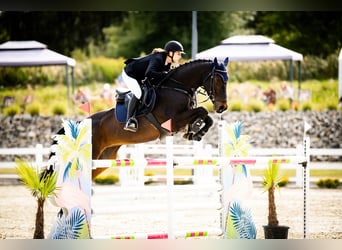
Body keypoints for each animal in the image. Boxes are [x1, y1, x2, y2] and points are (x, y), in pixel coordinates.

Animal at [50, 57, 230, 179]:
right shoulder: (174, 121)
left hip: (105, 158)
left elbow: (206, 117)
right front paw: (195, 131)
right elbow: (202, 110)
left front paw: (196, 132)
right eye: (218, 80)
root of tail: (79, 124)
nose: (222, 107)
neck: (177, 87)